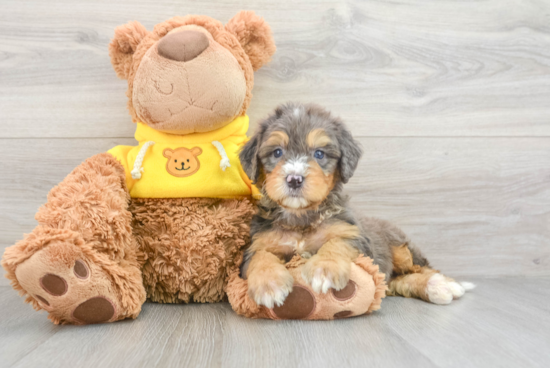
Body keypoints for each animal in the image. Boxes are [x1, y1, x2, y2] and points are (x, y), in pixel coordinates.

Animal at [239, 102, 476, 310]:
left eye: (319, 154)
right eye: (277, 152)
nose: (294, 179)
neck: (301, 218)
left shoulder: (357, 238)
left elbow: (337, 242)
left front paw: (324, 269)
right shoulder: (258, 244)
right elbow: (260, 257)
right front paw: (269, 285)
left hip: (401, 248)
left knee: (422, 267)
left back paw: (444, 284)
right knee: (399, 281)